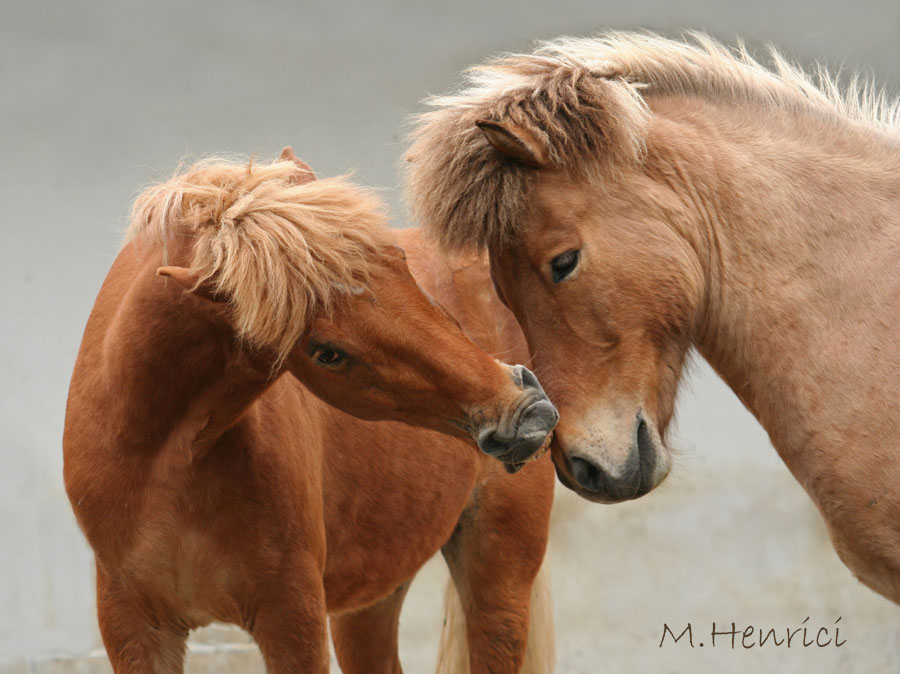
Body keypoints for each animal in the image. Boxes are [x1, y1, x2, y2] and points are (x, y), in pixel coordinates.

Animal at [61, 150, 556, 668]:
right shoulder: (135, 630)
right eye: (327, 353)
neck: (159, 460)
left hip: (498, 576)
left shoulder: (291, 617)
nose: (526, 410)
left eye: (397, 260)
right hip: (372, 597)